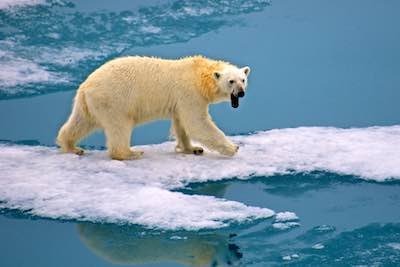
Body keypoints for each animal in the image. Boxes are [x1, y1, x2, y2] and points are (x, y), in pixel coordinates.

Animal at [57, 54, 250, 159]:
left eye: (243, 79)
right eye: (231, 81)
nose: (241, 93)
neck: (199, 75)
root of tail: (86, 85)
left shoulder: (180, 101)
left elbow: (181, 124)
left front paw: (193, 148)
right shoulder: (190, 93)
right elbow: (197, 123)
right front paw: (233, 148)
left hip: (88, 103)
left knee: (80, 122)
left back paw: (72, 147)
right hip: (114, 101)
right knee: (120, 126)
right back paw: (131, 154)